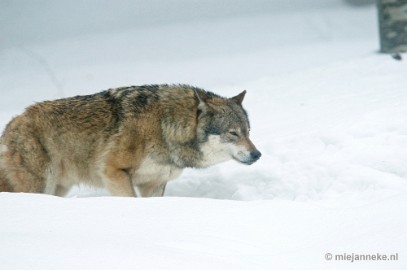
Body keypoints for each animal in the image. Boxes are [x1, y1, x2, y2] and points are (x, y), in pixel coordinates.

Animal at [0, 85, 262, 197]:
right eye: (233, 133)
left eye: (248, 132)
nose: (257, 154)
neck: (163, 126)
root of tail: (12, 124)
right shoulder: (113, 171)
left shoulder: (154, 184)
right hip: (40, 186)